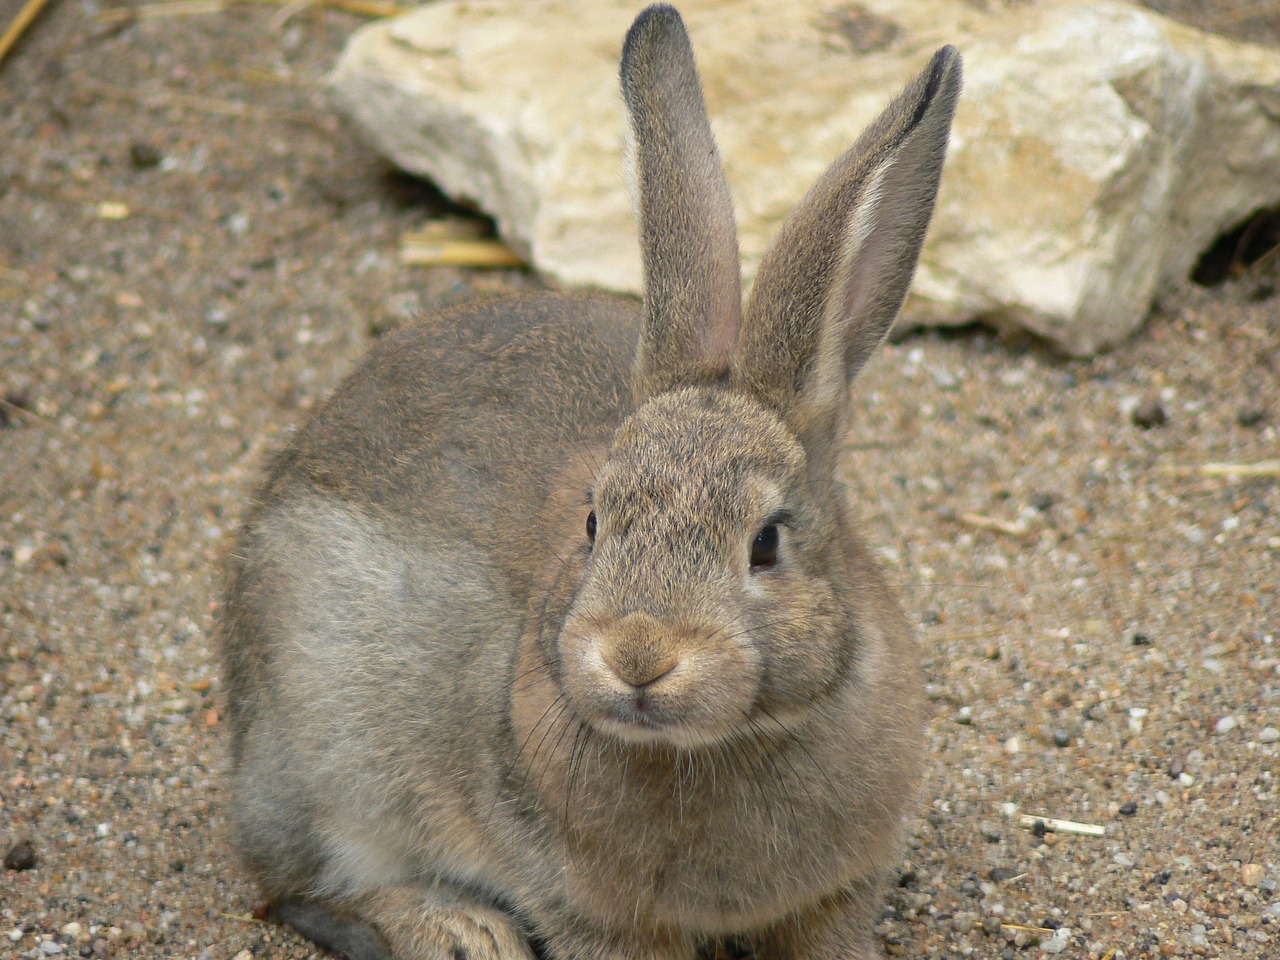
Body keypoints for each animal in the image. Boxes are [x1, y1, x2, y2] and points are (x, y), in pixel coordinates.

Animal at [220, 3, 962, 957]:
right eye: (594, 522)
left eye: (766, 543)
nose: (638, 656)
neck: (716, 745)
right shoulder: (589, 912)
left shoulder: (838, 894)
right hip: (325, 739)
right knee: (295, 888)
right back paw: (459, 930)